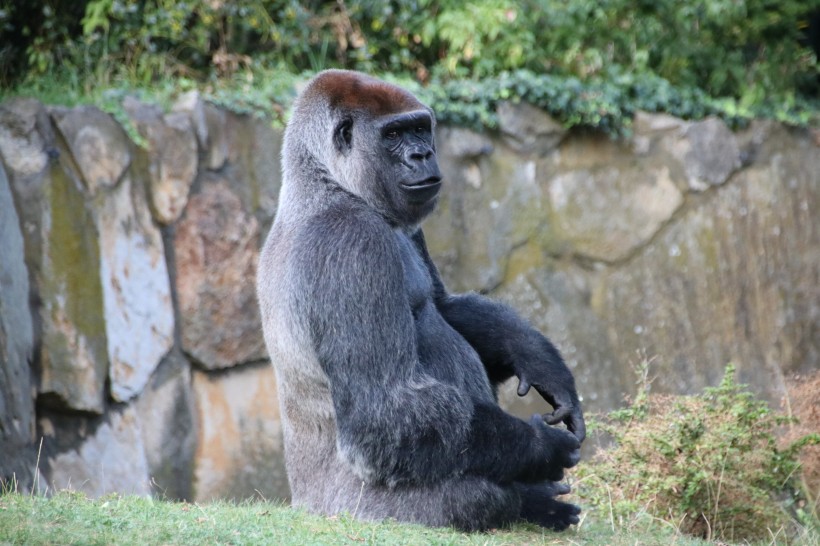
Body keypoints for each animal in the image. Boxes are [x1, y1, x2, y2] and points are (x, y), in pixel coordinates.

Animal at [260, 70, 588, 528]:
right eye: (394, 134)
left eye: (419, 128)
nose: (422, 154)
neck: (328, 183)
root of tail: (304, 504)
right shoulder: (351, 243)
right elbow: (385, 411)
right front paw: (541, 445)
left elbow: (446, 305)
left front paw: (537, 357)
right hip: (356, 512)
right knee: (474, 497)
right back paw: (530, 500)